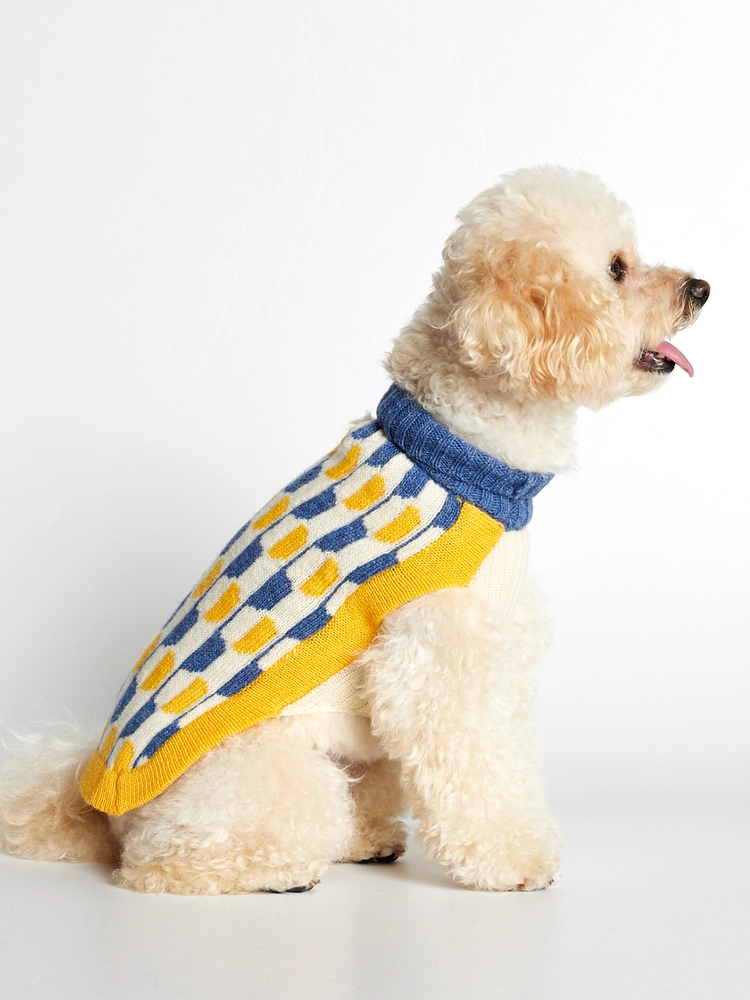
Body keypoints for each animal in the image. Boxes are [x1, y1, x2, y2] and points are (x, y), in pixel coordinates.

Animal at [0, 166, 709, 893]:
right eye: (617, 268)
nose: (702, 288)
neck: (456, 449)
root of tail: (92, 791)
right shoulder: (447, 654)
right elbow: (480, 764)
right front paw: (514, 860)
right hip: (272, 779)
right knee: (159, 863)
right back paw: (272, 873)